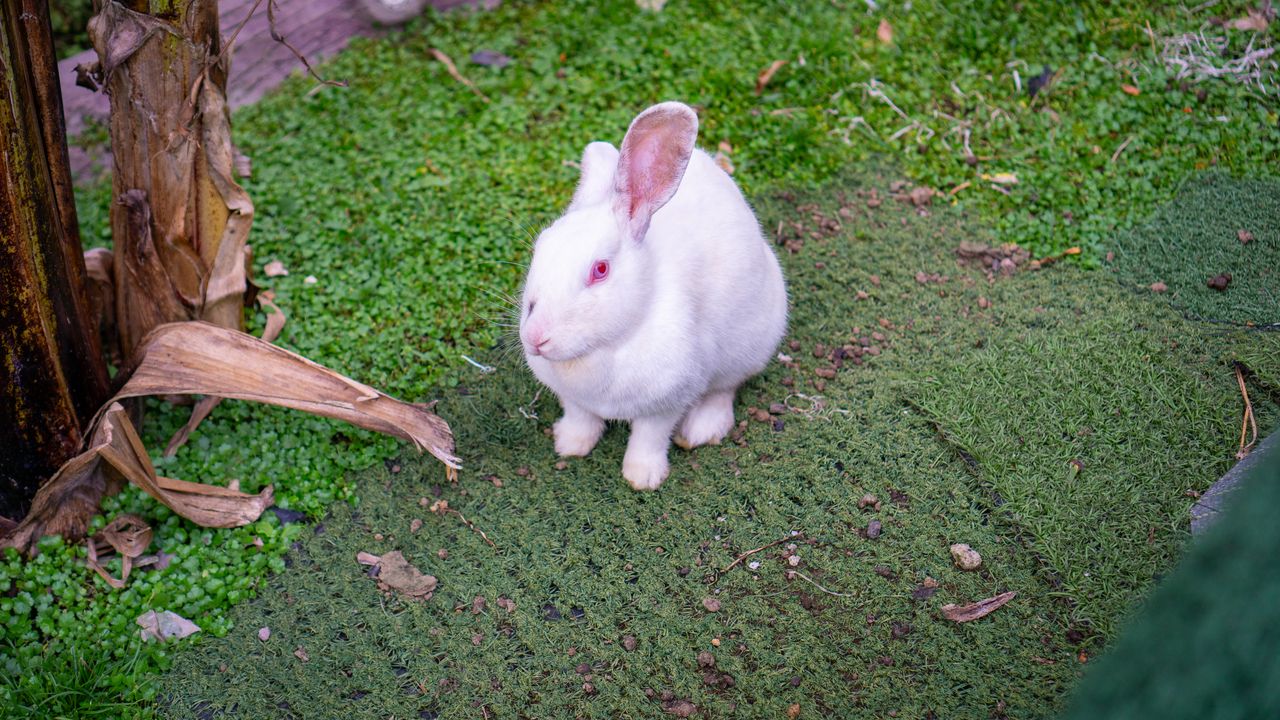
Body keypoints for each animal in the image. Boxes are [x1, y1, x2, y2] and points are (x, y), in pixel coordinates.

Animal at [519, 101, 788, 490]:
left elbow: (649, 437)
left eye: (600, 269)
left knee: (725, 389)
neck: (606, 347)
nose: (535, 337)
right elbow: (581, 418)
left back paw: (702, 429)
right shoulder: (574, 399)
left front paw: (642, 477)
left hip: (748, 348)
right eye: (540, 247)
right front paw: (569, 444)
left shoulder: (667, 402)